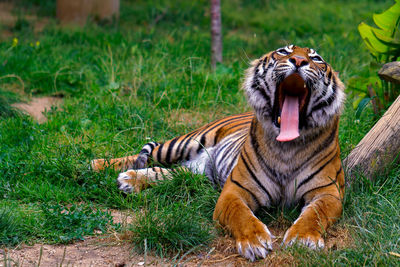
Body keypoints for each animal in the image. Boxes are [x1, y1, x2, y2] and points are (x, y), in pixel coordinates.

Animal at [90, 45, 344, 262]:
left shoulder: (328, 192)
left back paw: (130, 180)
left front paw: (303, 239)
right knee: (147, 155)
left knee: (167, 173)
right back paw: (97, 165)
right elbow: (241, 215)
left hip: (194, 172)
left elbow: (315, 214)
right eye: (283, 52)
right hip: (184, 143)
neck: (287, 147)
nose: (299, 61)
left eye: (316, 58)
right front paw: (254, 242)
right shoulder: (234, 190)